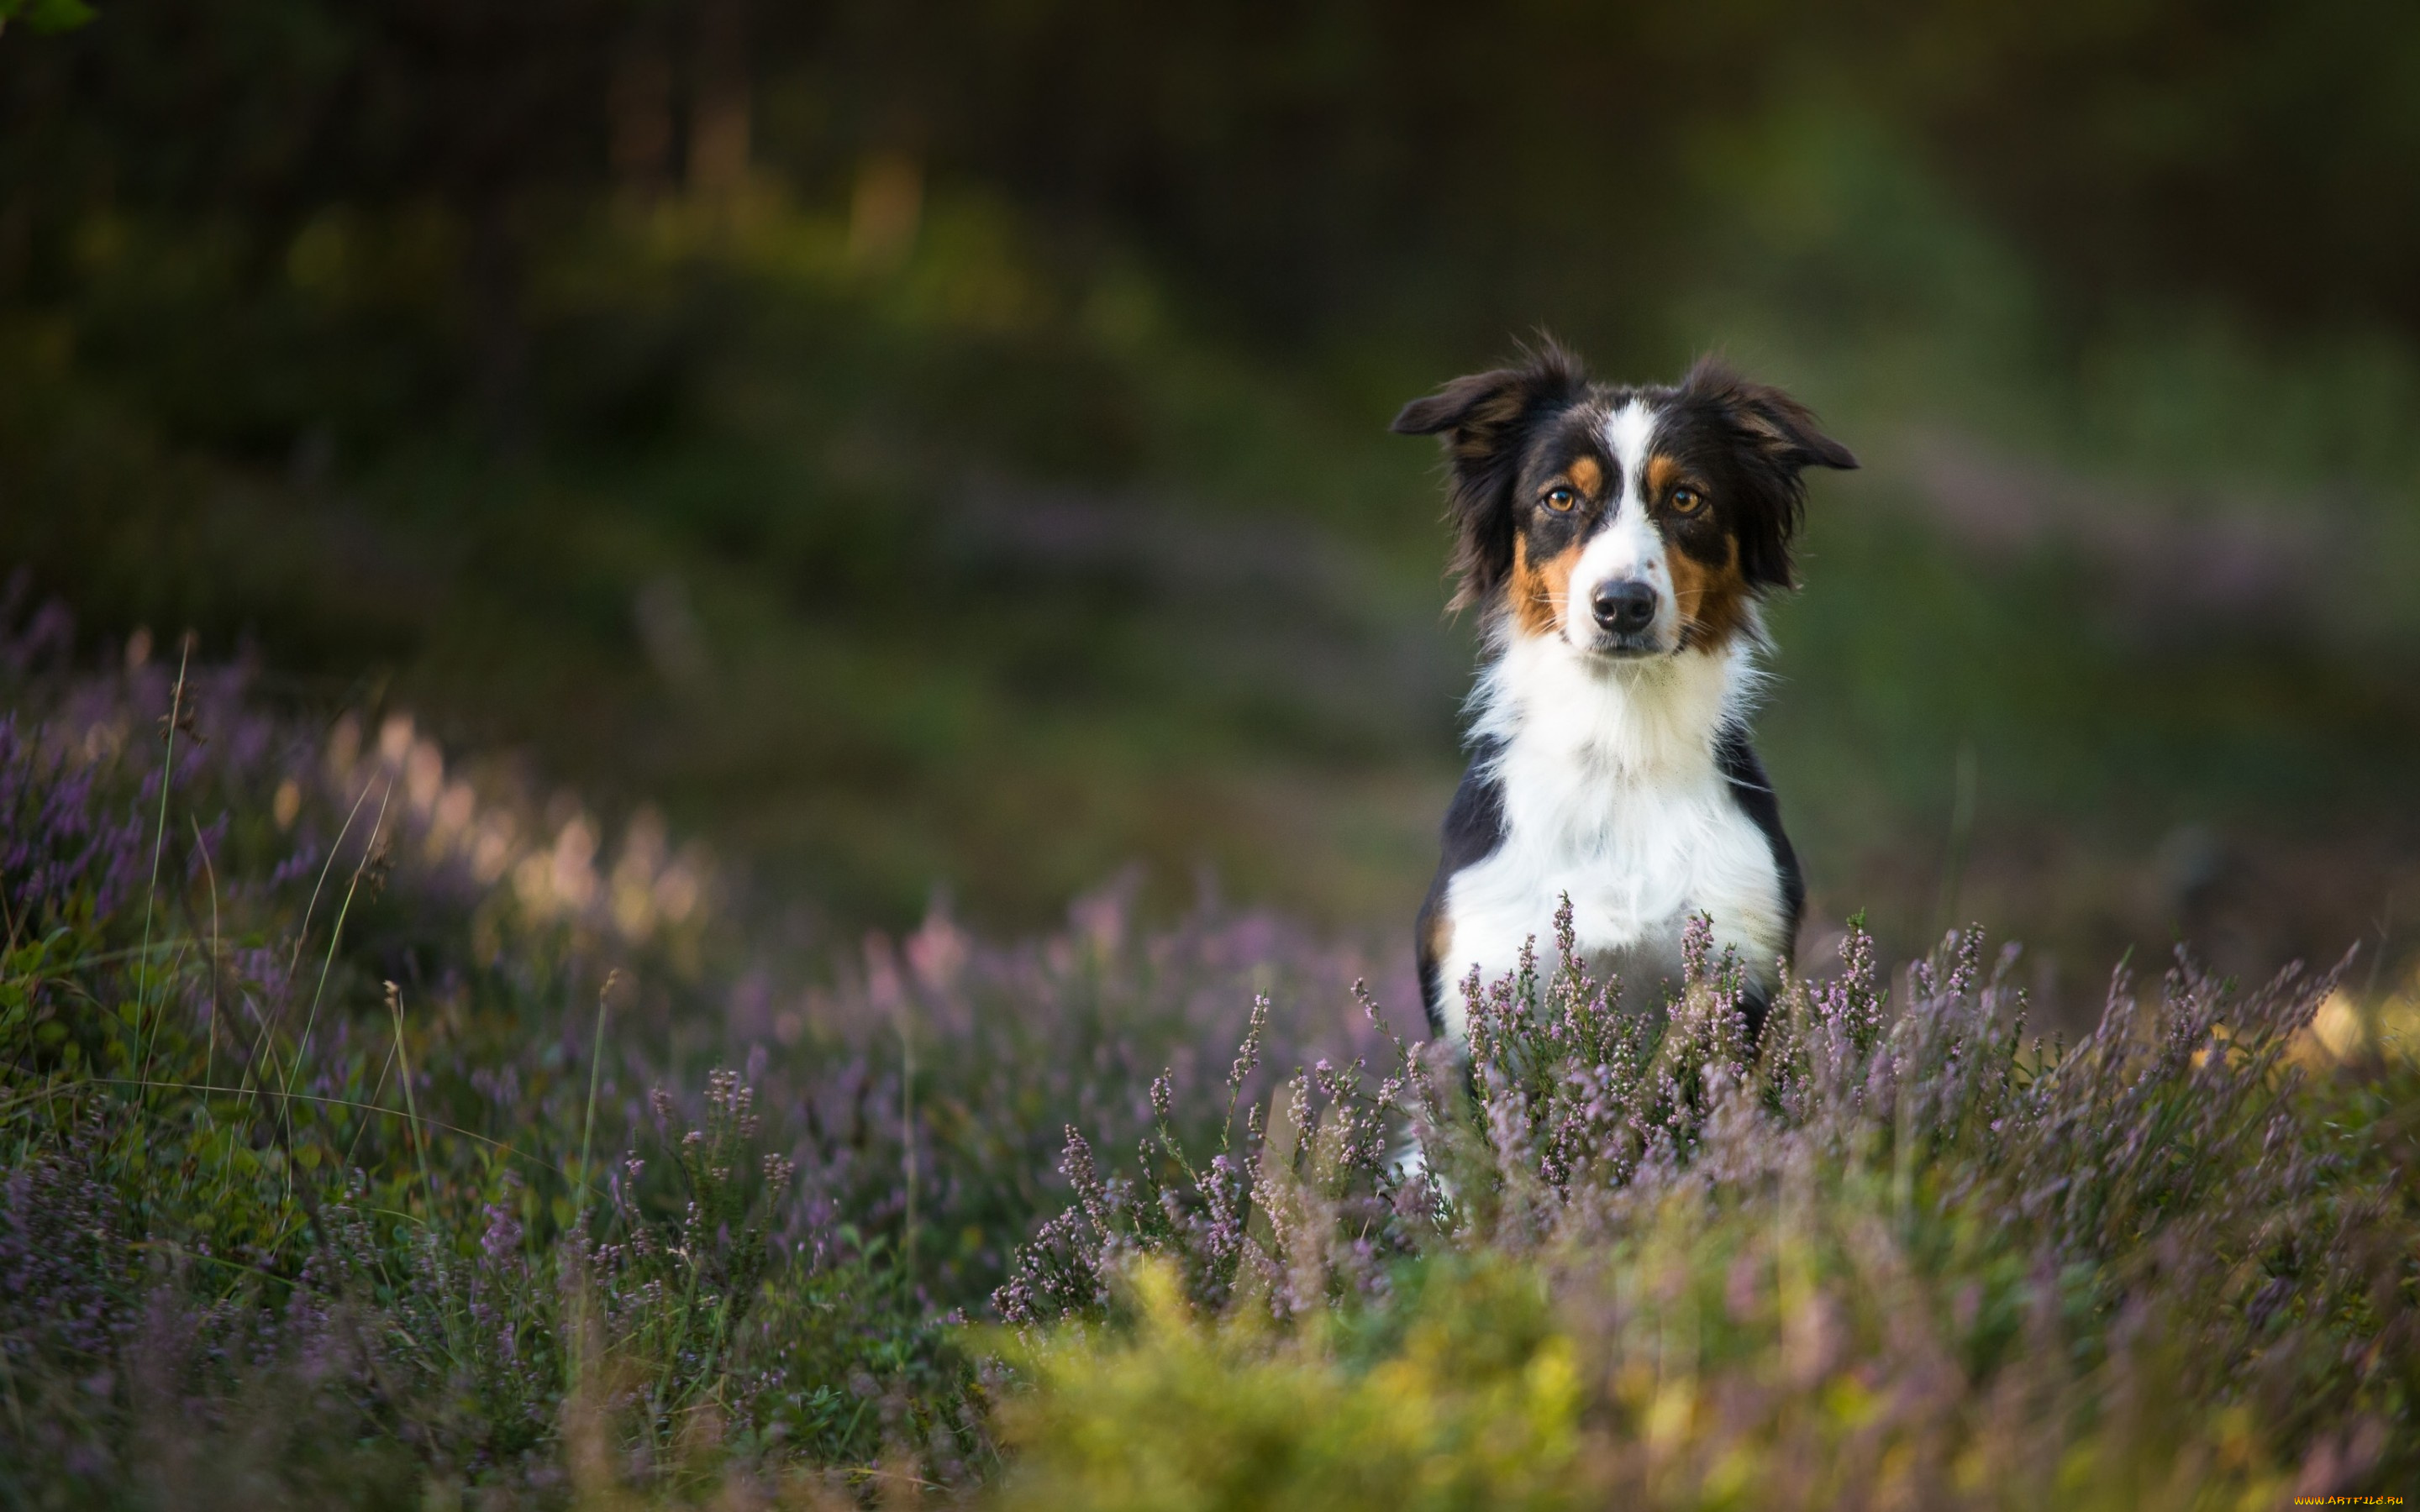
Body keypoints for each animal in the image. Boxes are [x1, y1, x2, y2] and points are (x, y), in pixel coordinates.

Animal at [1393, 341, 1858, 1035]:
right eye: (1560, 498)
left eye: (1688, 499)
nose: (1622, 605)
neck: (1620, 746)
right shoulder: (1483, 989)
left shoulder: (1739, 971)